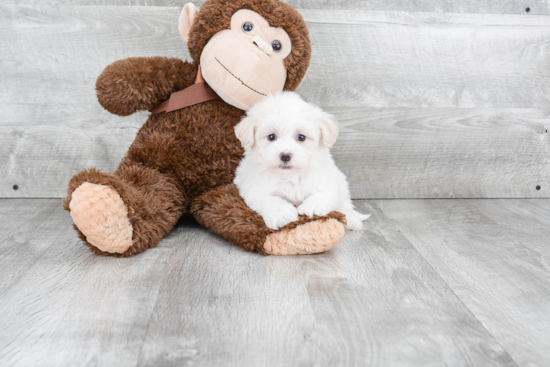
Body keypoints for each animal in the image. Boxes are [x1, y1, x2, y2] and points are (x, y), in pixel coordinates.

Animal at [233, 92, 370, 230]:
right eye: (271, 137)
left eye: (301, 137)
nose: (285, 155)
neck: (291, 175)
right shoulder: (254, 187)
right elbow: (269, 199)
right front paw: (281, 213)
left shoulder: (327, 177)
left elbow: (326, 191)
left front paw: (313, 205)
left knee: (345, 204)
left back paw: (351, 219)